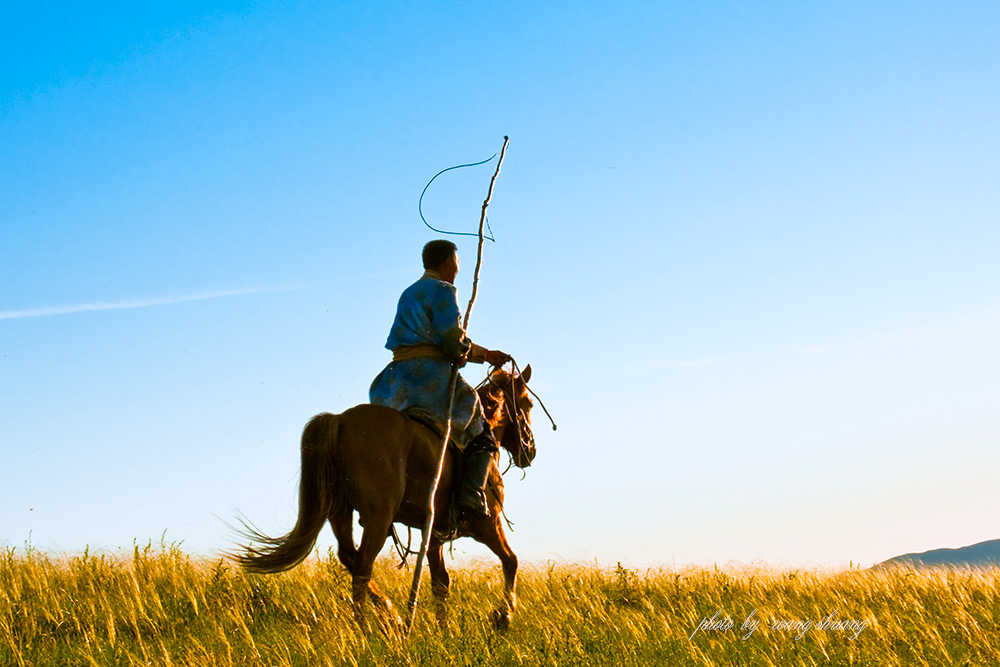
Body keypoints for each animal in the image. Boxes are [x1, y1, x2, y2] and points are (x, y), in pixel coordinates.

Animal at [235, 366, 536, 632]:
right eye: (528, 403)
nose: (530, 451)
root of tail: (338, 420)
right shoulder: (488, 524)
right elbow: (511, 561)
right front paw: (502, 617)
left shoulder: (434, 534)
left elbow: (440, 582)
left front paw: (444, 631)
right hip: (379, 516)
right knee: (362, 564)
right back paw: (366, 628)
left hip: (341, 511)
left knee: (349, 556)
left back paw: (393, 617)